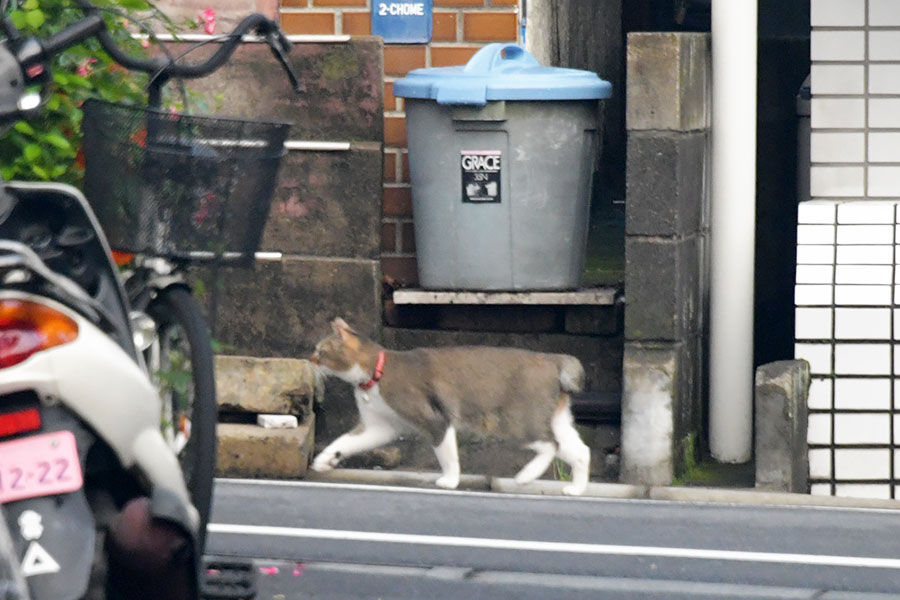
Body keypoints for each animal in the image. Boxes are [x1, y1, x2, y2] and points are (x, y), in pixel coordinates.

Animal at [310, 316, 592, 494]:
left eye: (320, 352)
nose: (308, 359)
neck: (375, 373)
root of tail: (554, 359)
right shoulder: (380, 427)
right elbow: (344, 442)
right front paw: (324, 460)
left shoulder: (435, 420)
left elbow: (447, 456)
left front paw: (450, 481)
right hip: (554, 419)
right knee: (579, 450)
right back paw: (576, 489)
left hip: (518, 420)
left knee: (550, 445)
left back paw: (525, 476)